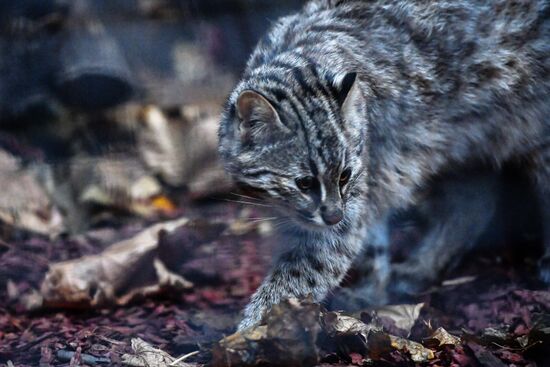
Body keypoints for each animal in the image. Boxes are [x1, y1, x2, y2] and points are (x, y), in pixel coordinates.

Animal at [218, 0, 548, 330]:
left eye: (344, 175)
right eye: (304, 182)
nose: (334, 216)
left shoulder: (354, 201)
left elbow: (303, 272)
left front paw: (257, 329)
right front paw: (369, 290)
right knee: (474, 201)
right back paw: (418, 268)